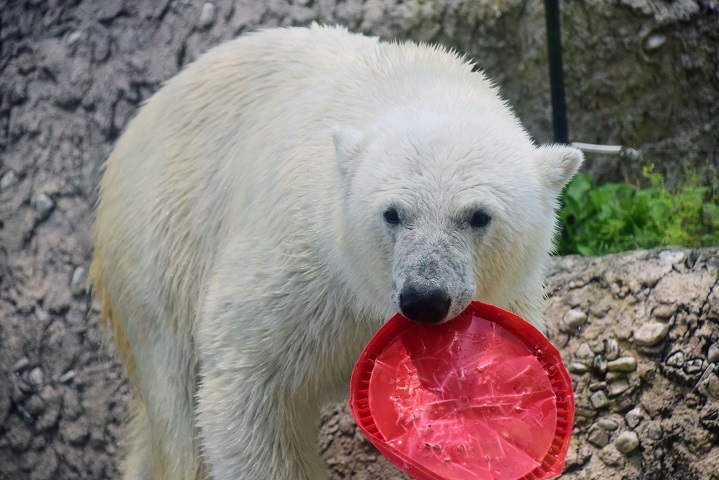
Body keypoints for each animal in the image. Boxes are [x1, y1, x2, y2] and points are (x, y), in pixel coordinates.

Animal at [90, 23, 584, 480]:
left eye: (479, 216)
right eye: (392, 213)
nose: (424, 299)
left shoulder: (507, 298)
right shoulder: (303, 266)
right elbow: (251, 387)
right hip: (162, 243)